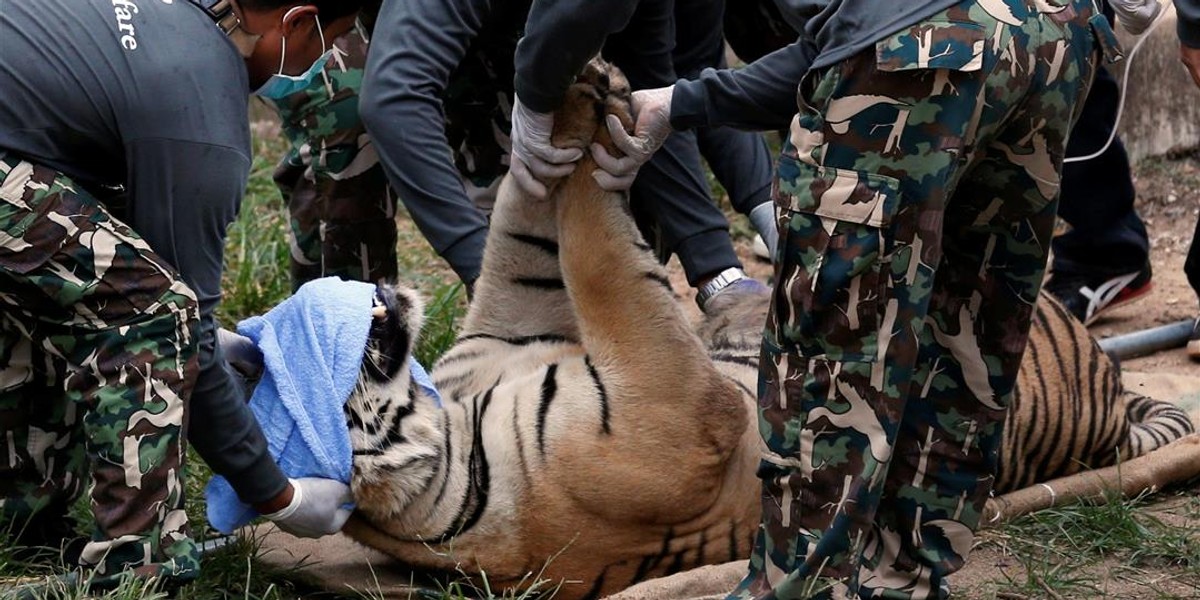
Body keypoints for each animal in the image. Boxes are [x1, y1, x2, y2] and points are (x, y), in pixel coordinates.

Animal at [338, 57, 1190, 600]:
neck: (456, 430)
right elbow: (601, 254)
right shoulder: (677, 409)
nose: (369, 289)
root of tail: (1109, 383)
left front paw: (573, 100)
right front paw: (599, 112)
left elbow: (534, 218)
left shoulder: (508, 324)